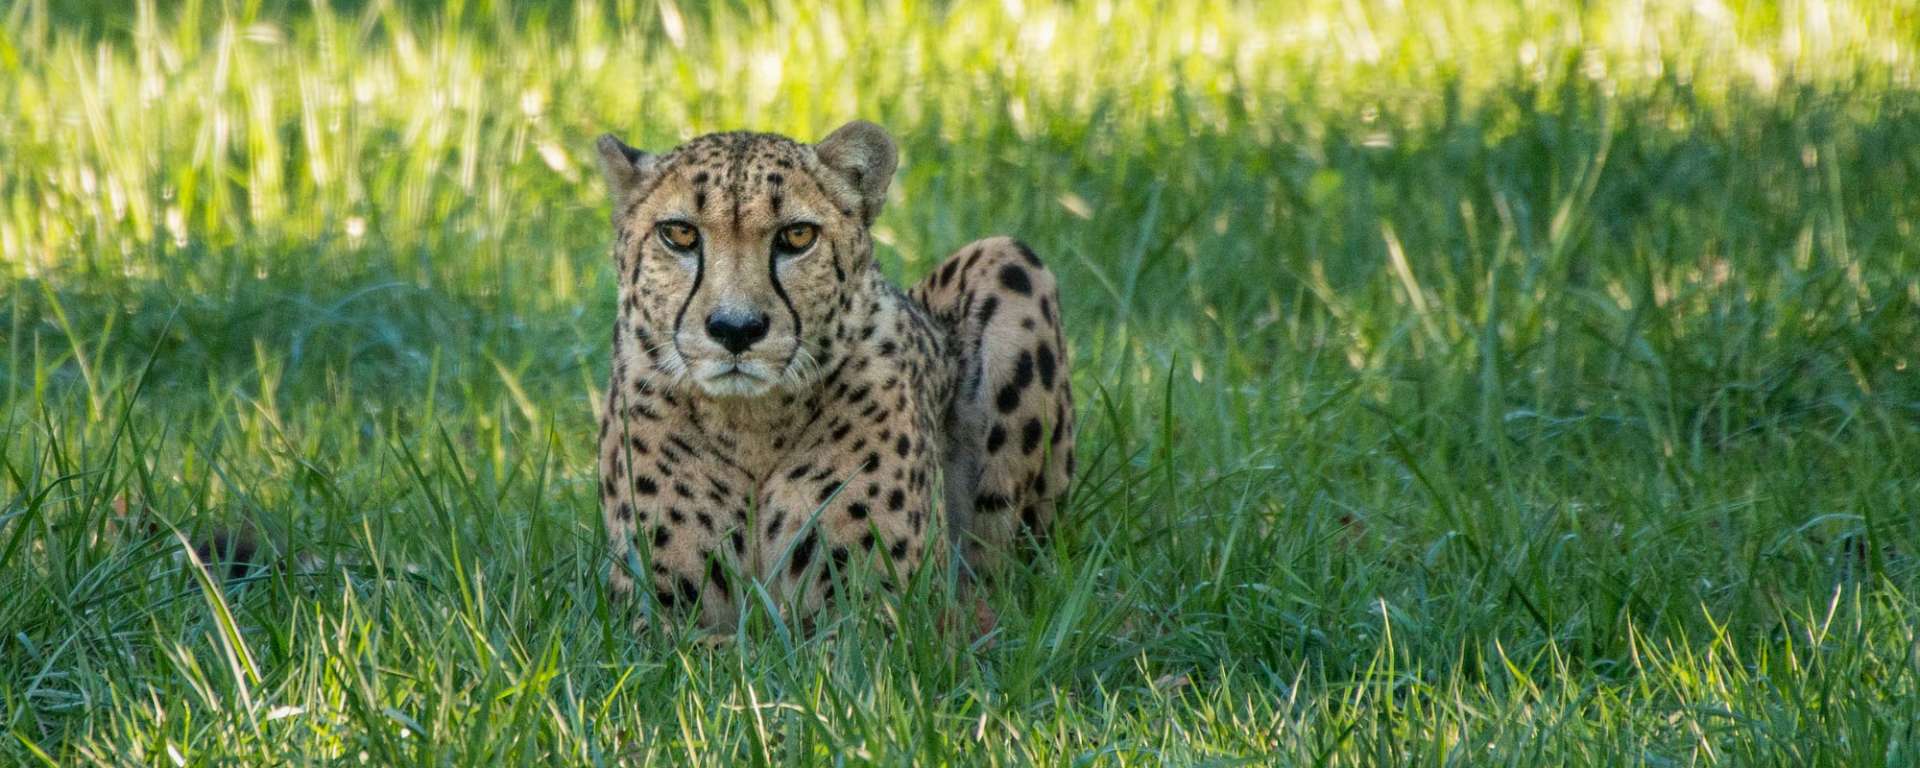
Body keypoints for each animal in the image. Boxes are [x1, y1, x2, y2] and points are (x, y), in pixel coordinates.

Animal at [593, 121, 1075, 631]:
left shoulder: (881, 612)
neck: (752, 425)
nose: (736, 329)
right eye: (680, 234)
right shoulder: (651, 615)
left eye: (798, 235)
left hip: (1006, 258)